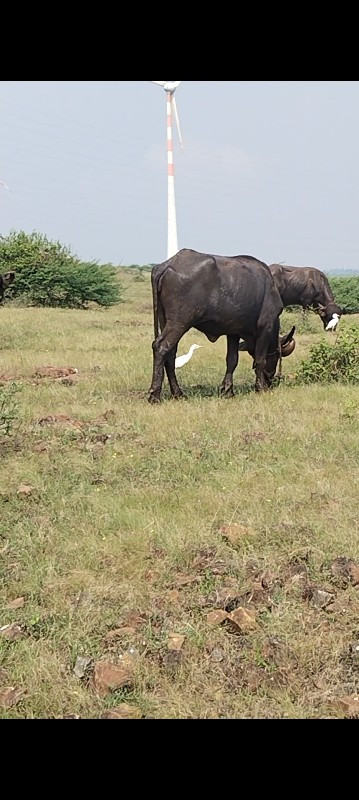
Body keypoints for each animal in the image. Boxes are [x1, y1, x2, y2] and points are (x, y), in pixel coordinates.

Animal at [148, 248, 296, 404]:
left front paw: (228, 391)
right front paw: (261, 388)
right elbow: (260, 359)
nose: (271, 379)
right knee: (161, 347)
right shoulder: (265, 327)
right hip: (179, 322)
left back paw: (178, 393)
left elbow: (232, 360)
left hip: (165, 320)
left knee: (170, 353)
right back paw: (155, 395)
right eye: (278, 355)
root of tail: (167, 265)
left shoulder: (233, 333)